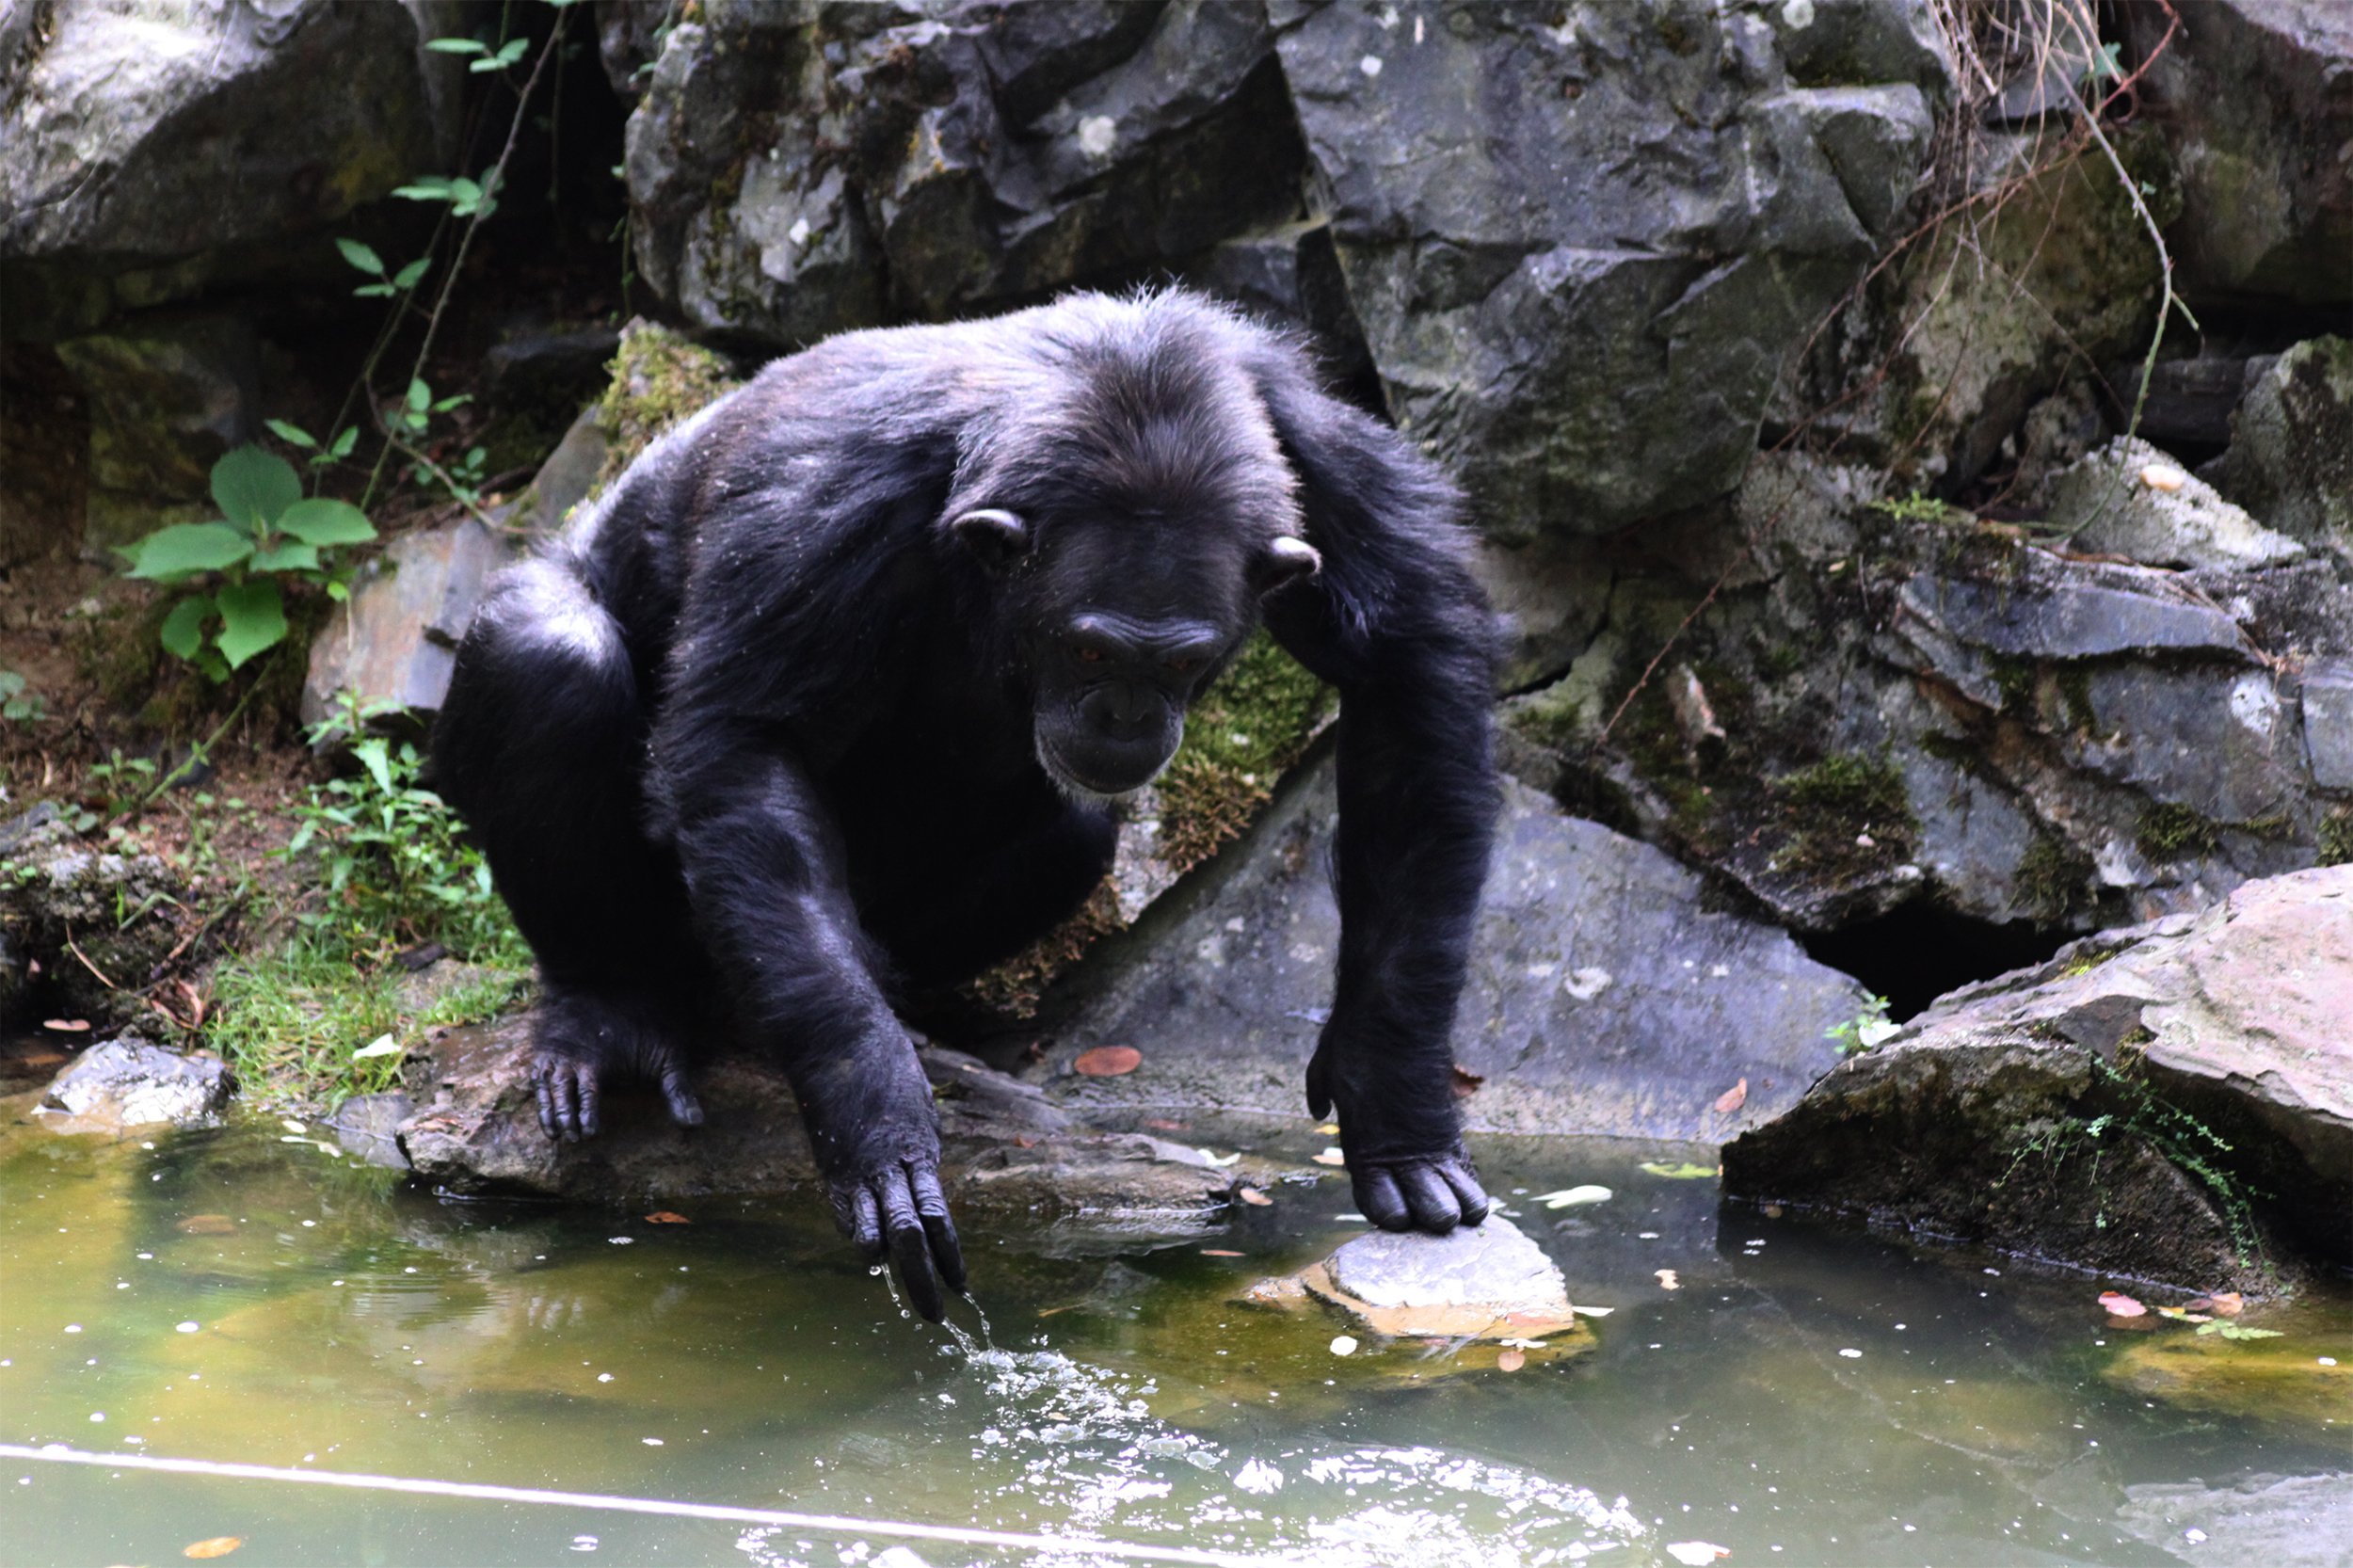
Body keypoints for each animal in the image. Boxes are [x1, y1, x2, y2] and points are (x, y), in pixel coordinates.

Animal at [433, 287, 1497, 1308]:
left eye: (1182, 659)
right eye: (1090, 650)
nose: (1123, 716)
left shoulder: (1321, 454)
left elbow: (1412, 672)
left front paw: (1391, 1095)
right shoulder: (817, 509)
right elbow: (750, 742)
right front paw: (872, 1111)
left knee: (1076, 835)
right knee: (547, 655)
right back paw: (611, 1012)